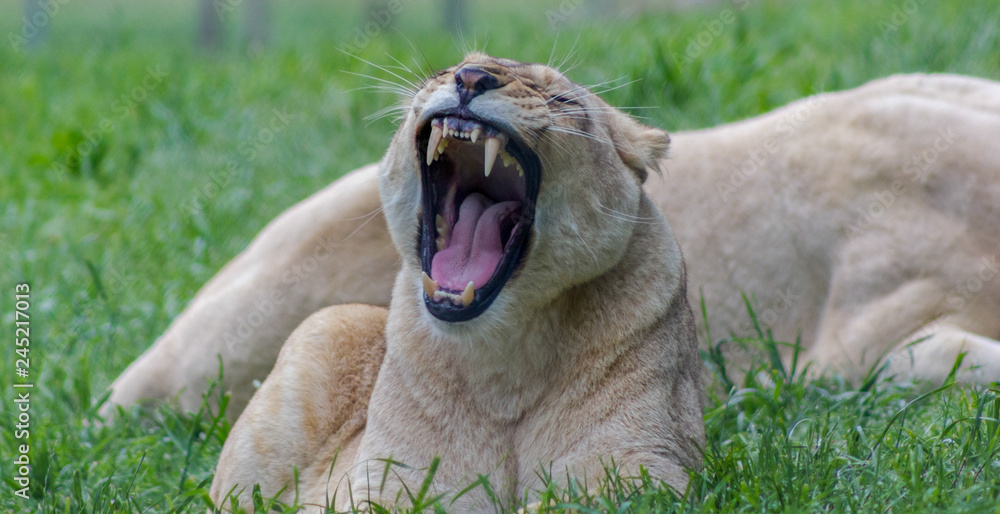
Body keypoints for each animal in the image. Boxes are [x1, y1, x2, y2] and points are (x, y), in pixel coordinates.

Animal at [208, 54, 705, 511]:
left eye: (562, 99)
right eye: (445, 72)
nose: (471, 78)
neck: (504, 358)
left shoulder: (646, 466)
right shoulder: (388, 483)